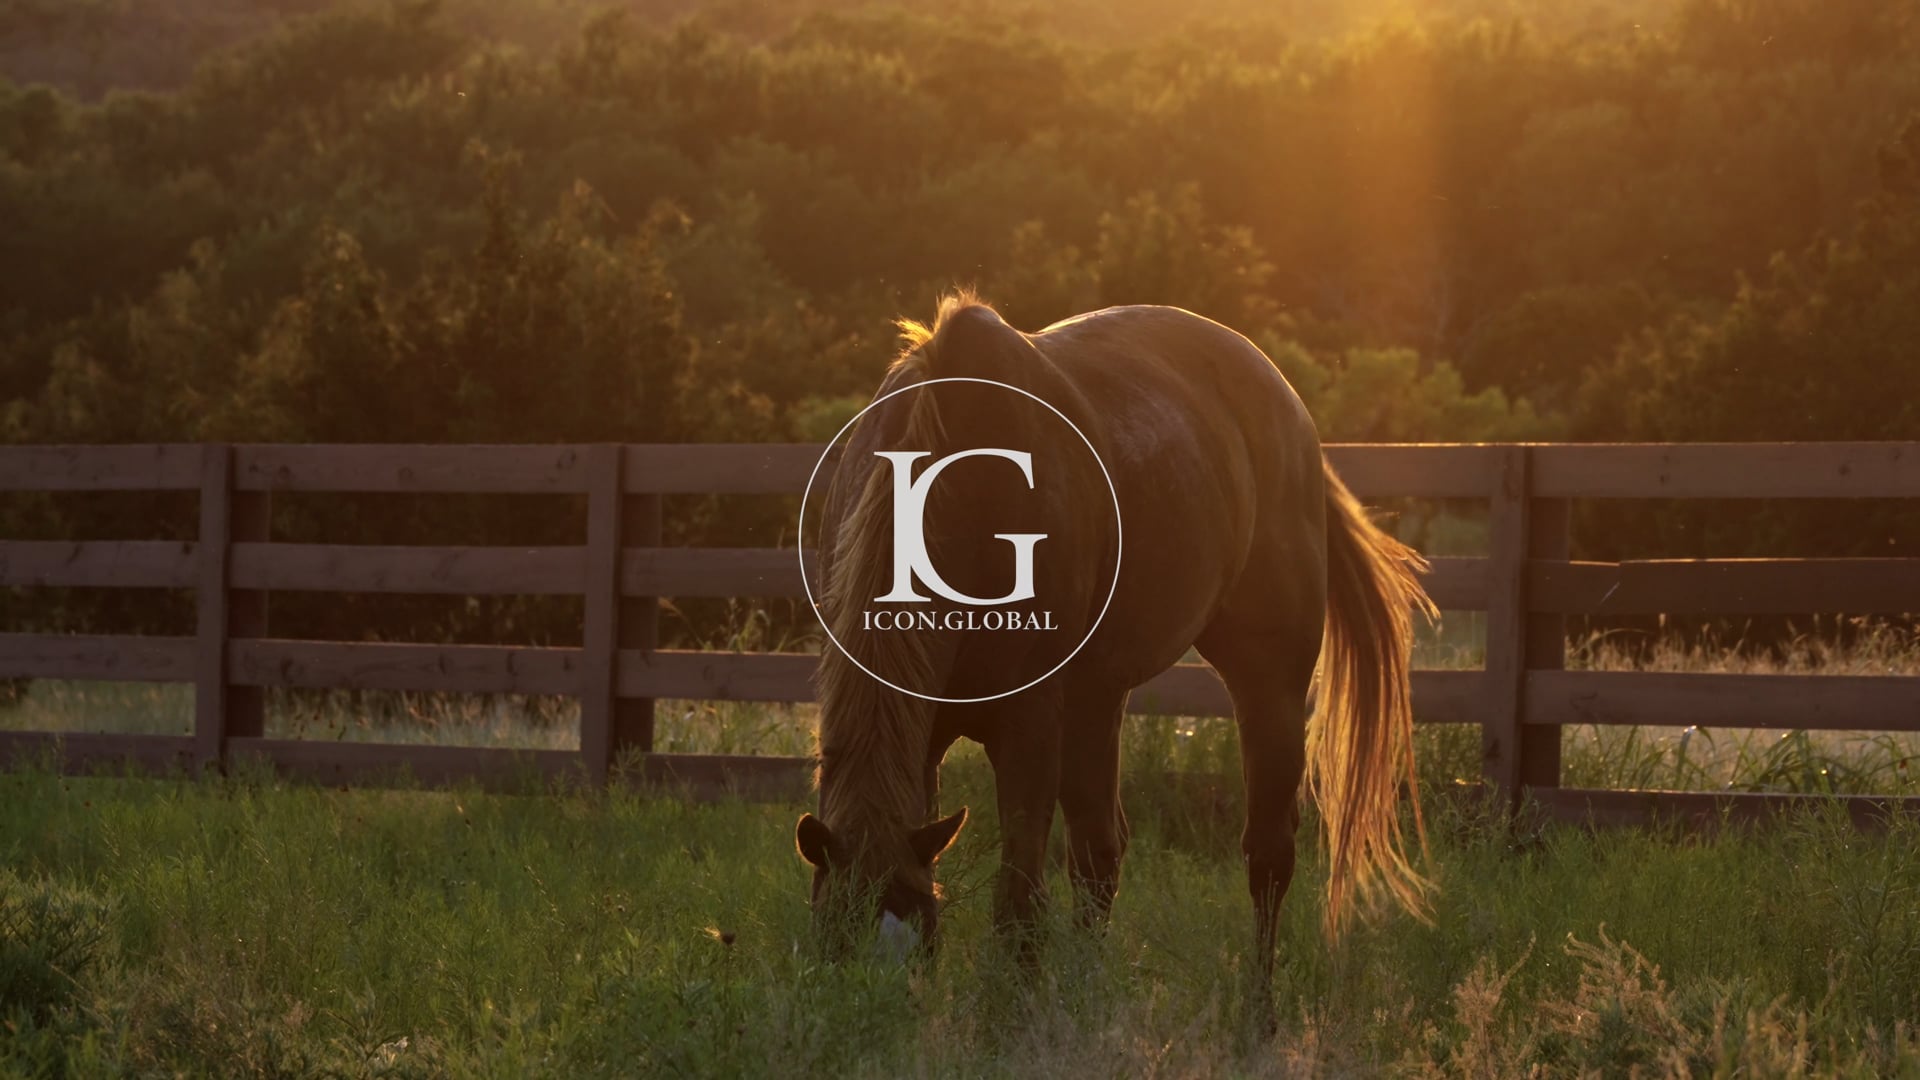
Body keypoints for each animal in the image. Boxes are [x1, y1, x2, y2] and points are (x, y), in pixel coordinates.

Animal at [787, 294, 1436, 976]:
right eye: (833, 938)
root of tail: (1288, 408)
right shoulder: (933, 732)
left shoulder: (1029, 726)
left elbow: (1018, 905)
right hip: (1098, 698)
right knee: (1100, 854)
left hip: (1268, 678)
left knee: (1266, 855)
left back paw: (1258, 1002)